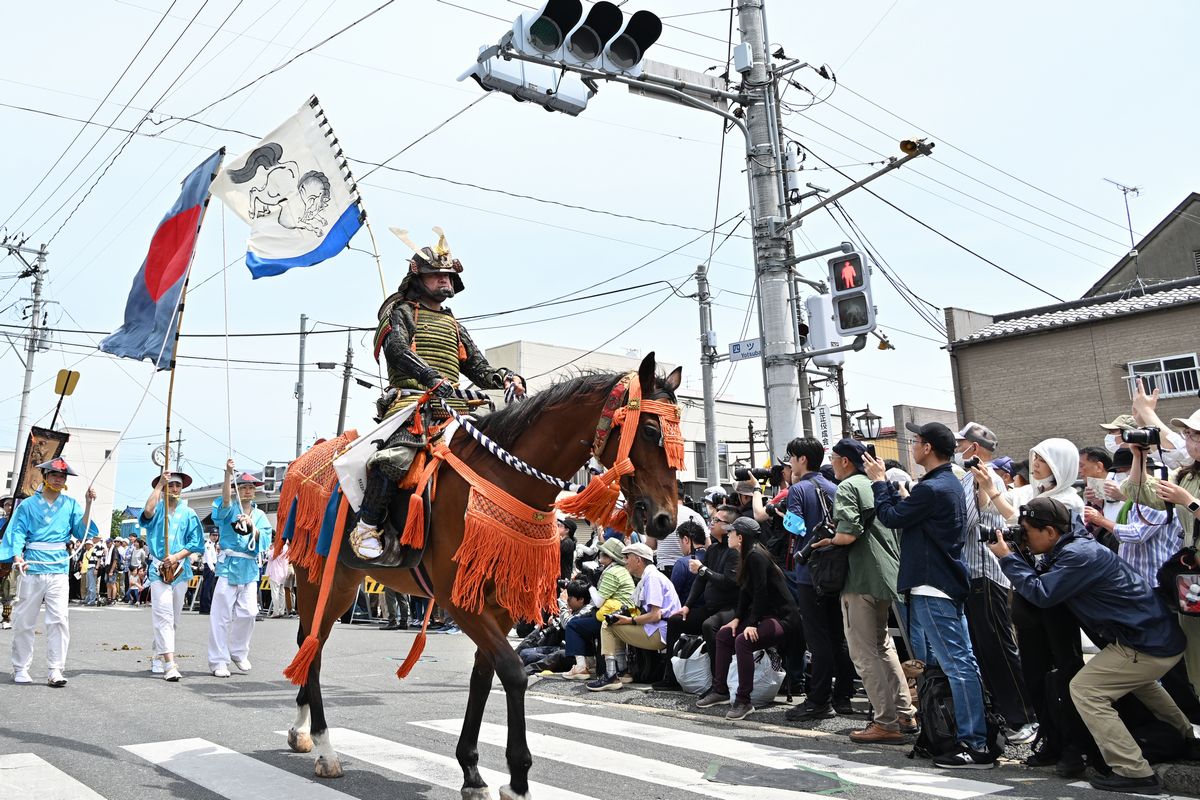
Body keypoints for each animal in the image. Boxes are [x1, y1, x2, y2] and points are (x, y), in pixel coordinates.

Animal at [276, 352, 681, 796]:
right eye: (649, 431)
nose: (665, 519)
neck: (504, 479)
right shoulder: (458, 599)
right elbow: (513, 672)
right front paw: (517, 779)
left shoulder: (498, 602)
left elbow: (484, 675)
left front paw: (472, 771)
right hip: (320, 578)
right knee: (312, 647)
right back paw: (325, 748)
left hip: (343, 582)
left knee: (310, 643)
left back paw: (300, 731)